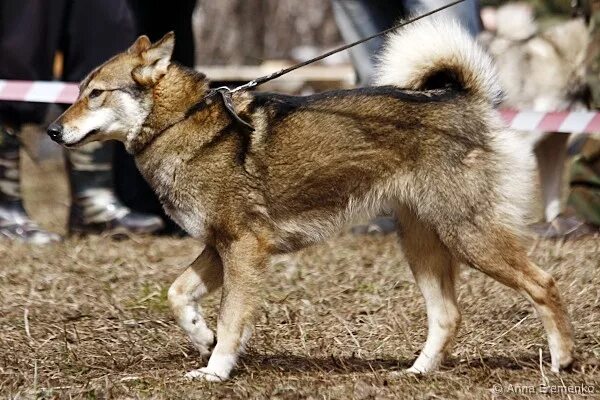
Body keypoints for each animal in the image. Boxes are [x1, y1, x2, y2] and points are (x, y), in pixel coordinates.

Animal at [49, 19, 576, 382]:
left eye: (95, 94)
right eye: (77, 92)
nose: (54, 131)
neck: (182, 122)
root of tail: (463, 99)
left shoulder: (243, 248)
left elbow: (232, 317)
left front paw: (216, 369)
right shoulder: (220, 247)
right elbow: (178, 294)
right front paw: (202, 337)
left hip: (471, 237)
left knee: (545, 284)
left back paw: (563, 360)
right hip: (421, 244)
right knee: (448, 316)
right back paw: (417, 373)